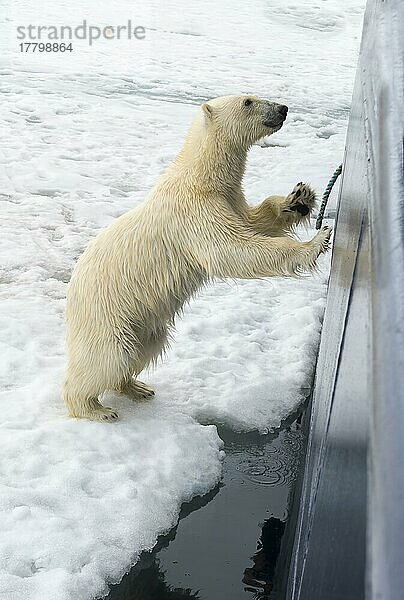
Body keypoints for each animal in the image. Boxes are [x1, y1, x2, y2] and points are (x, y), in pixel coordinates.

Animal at [63, 95, 332, 422]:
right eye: (248, 101)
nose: (283, 109)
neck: (199, 176)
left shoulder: (229, 199)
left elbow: (255, 221)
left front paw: (299, 199)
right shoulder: (194, 212)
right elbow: (233, 249)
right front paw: (316, 242)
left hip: (143, 323)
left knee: (143, 349)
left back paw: (137, 387)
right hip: (107, 316)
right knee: (108, 357)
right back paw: (94, 408)